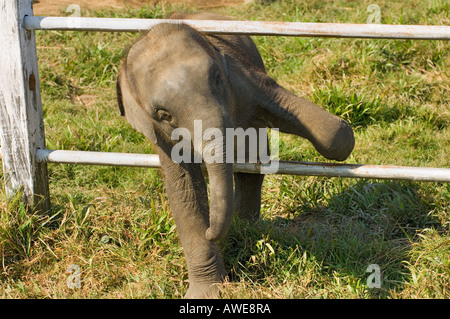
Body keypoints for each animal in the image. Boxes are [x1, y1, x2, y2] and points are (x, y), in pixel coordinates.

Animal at [117, 11, 356, 298]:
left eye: (217, 78)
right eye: (163, 114)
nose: (211, 231)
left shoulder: (242, 76)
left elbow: (332, 134)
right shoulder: (160, 135)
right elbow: (185, 193)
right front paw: (206, 291)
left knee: (252, 161)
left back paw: (248, 227)